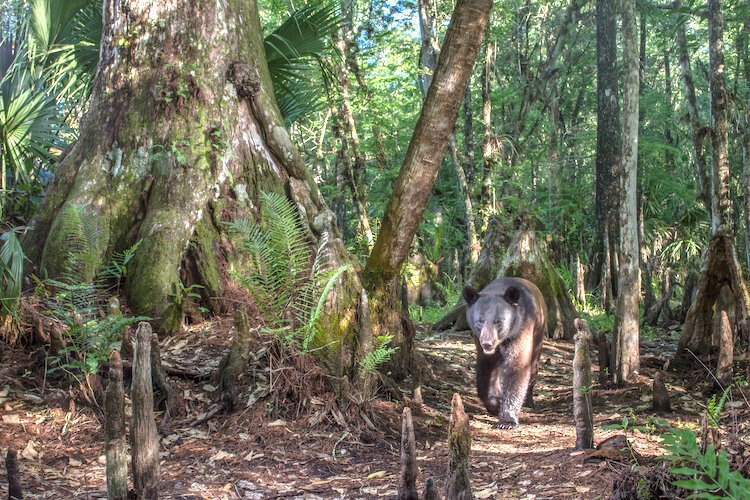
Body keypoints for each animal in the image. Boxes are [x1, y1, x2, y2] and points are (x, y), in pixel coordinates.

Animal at [463, 277, 546, 428]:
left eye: (498, 322)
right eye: (480, 321)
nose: (487, 343)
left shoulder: (520, 331)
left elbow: (517, 367)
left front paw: (507, 420)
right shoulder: (480, 343)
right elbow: (485, 371)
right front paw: (494, 404)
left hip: (538, 333)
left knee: (533, 368)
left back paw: (529, 401)